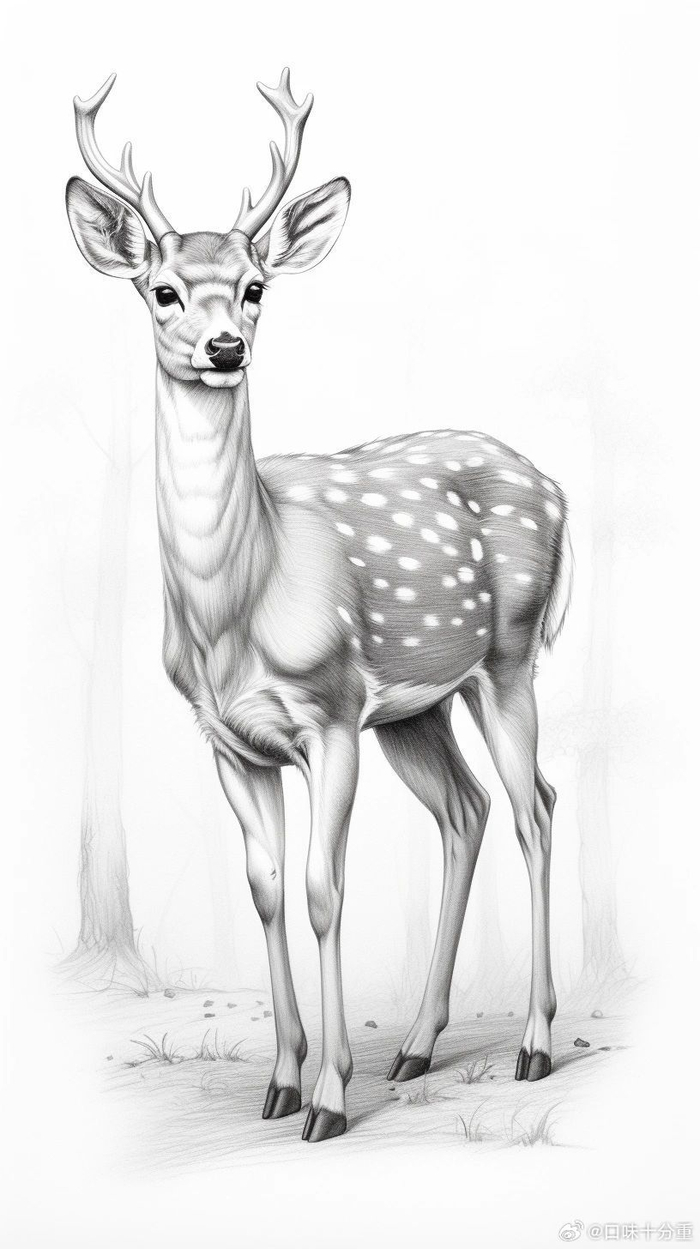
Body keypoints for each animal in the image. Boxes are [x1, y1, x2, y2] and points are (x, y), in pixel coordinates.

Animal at [66, 69, 573, 1143]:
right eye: (163, 290)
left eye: (256, 287)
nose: (224, 346)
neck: (237, 613)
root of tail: (557, 487)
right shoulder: (228, 738)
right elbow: (265, 891)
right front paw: (283, 1081)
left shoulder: (330, 711)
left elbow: (323, 890)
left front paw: (331, 1099)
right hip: (419, 708)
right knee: (466, 811)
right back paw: (416, 1045)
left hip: (508, 659)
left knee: (536, 807)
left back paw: (535, 1045)